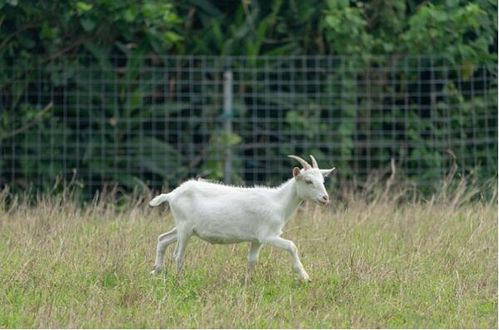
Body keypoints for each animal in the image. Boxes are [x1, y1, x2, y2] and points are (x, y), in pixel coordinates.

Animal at [148, 155, 336, 282]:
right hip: (185, 228)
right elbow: (292, 246)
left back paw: (156, 270)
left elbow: (252, 260)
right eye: (308, 181)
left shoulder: (256, 240)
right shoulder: (267, 235)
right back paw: (180, 280)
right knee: (178, 254)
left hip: (183, 227)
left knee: (162, 239)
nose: (325, 198)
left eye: (323, 180)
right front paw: (304, 276)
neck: (278, 202)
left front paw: (247, 283)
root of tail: (171, 194)